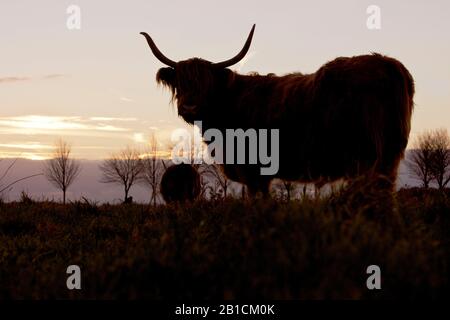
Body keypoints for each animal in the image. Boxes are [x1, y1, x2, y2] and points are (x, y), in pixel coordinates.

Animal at [141, 23, 414, 196]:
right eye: (181, 83)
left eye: (206, 83)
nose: (189, 105)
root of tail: (388, 63)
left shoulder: (254, 173)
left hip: (367, 158)